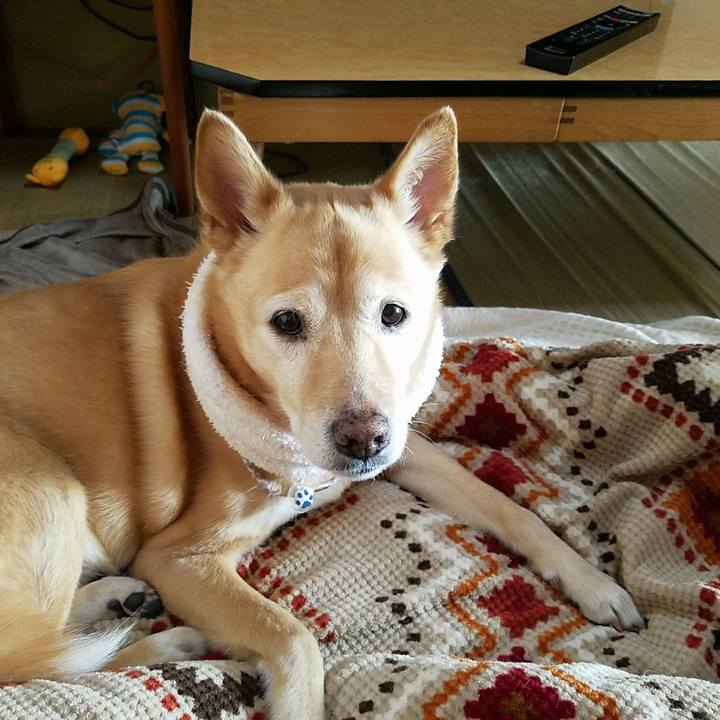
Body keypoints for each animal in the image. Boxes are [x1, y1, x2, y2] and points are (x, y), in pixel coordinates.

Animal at [0, 108, 641, 719]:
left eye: (393, 314)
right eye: (286, 322)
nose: (363, 441)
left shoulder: (403, 444)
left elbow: (508, 508)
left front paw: (591, 581)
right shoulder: (178, 555)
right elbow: (295, 639)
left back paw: (116, 598)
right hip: (49, 485)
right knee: (32, 661)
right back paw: (164, 643)